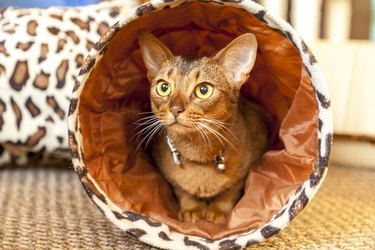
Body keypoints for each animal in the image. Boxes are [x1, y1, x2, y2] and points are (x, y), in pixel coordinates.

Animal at [137, 30, 268, 223]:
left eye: (203, 90)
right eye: (163, 87)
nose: (175, 109)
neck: (197, 153)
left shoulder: (248, 166)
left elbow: (230, 191)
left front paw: (218, 211)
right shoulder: (169, 175)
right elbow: (182, 190)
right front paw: (192, 209)